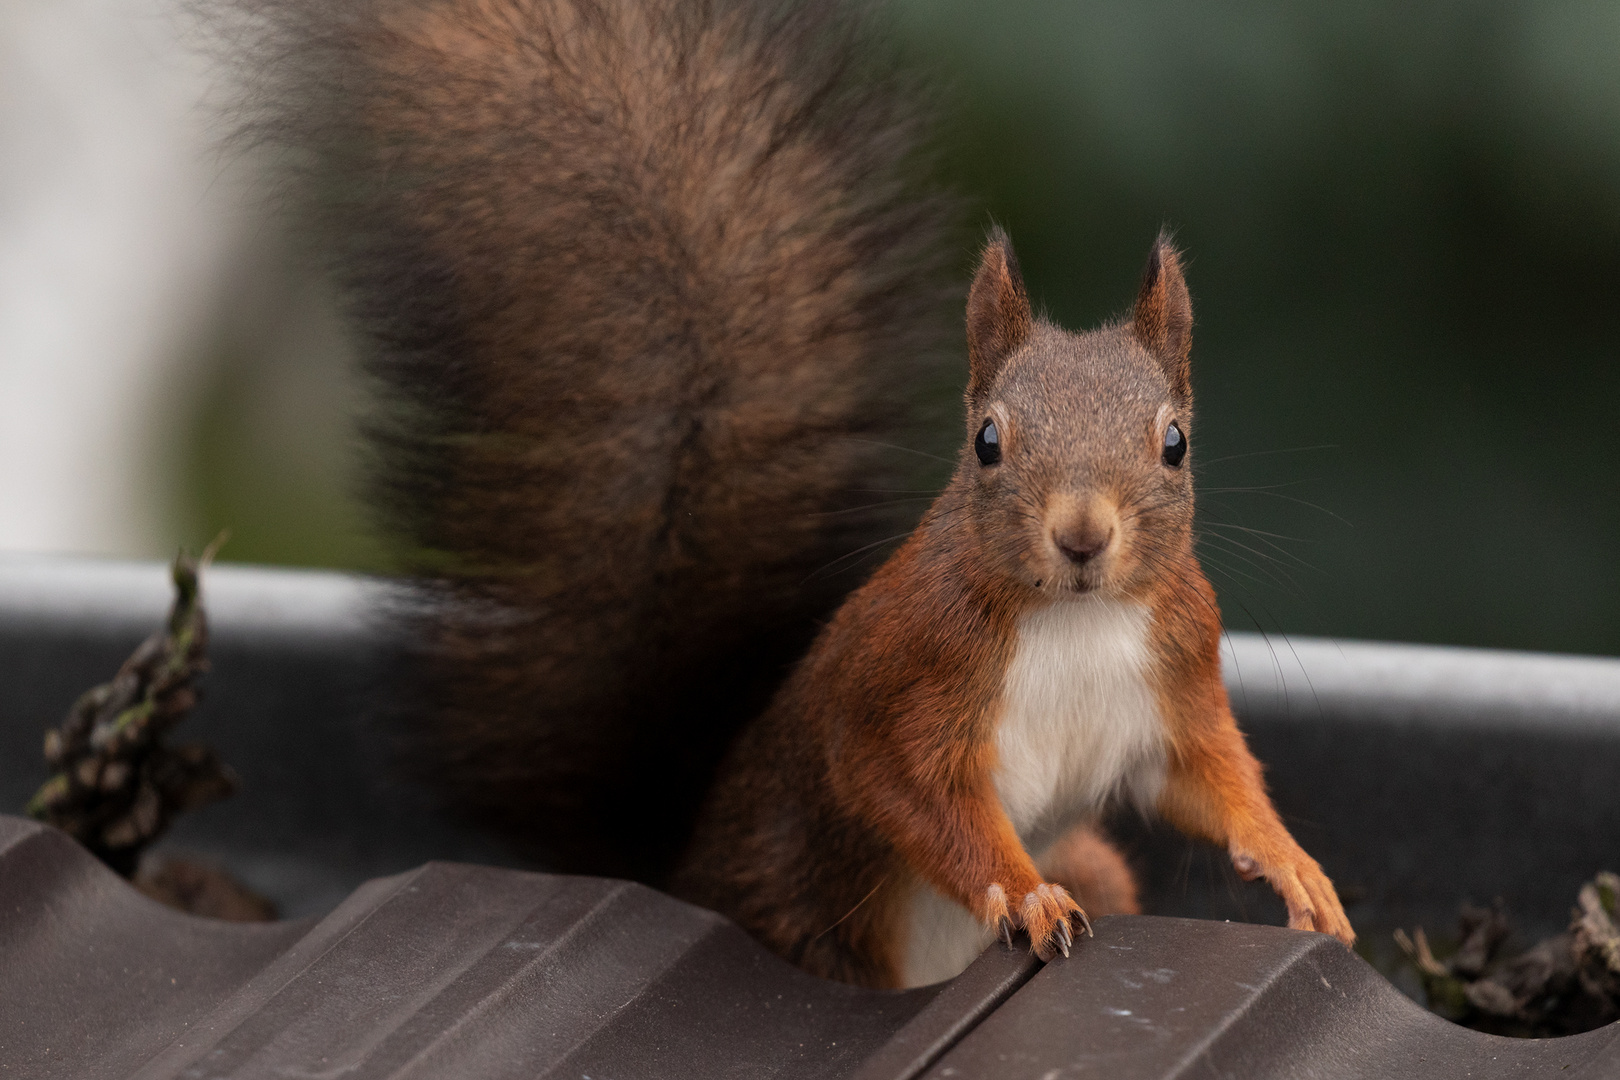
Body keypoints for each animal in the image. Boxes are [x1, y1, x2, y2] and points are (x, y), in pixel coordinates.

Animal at [231, 0, 1354, 990]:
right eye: (987, 441)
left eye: (1174, 443)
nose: (1082, 535)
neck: (1074, 619)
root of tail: (676, 868)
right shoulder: (903, 685)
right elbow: (911, 794)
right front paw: (1026, 896)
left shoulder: (1176, 674)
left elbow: (1210, 778)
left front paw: (1296, 867)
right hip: (809, 918)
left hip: (1092, 855)